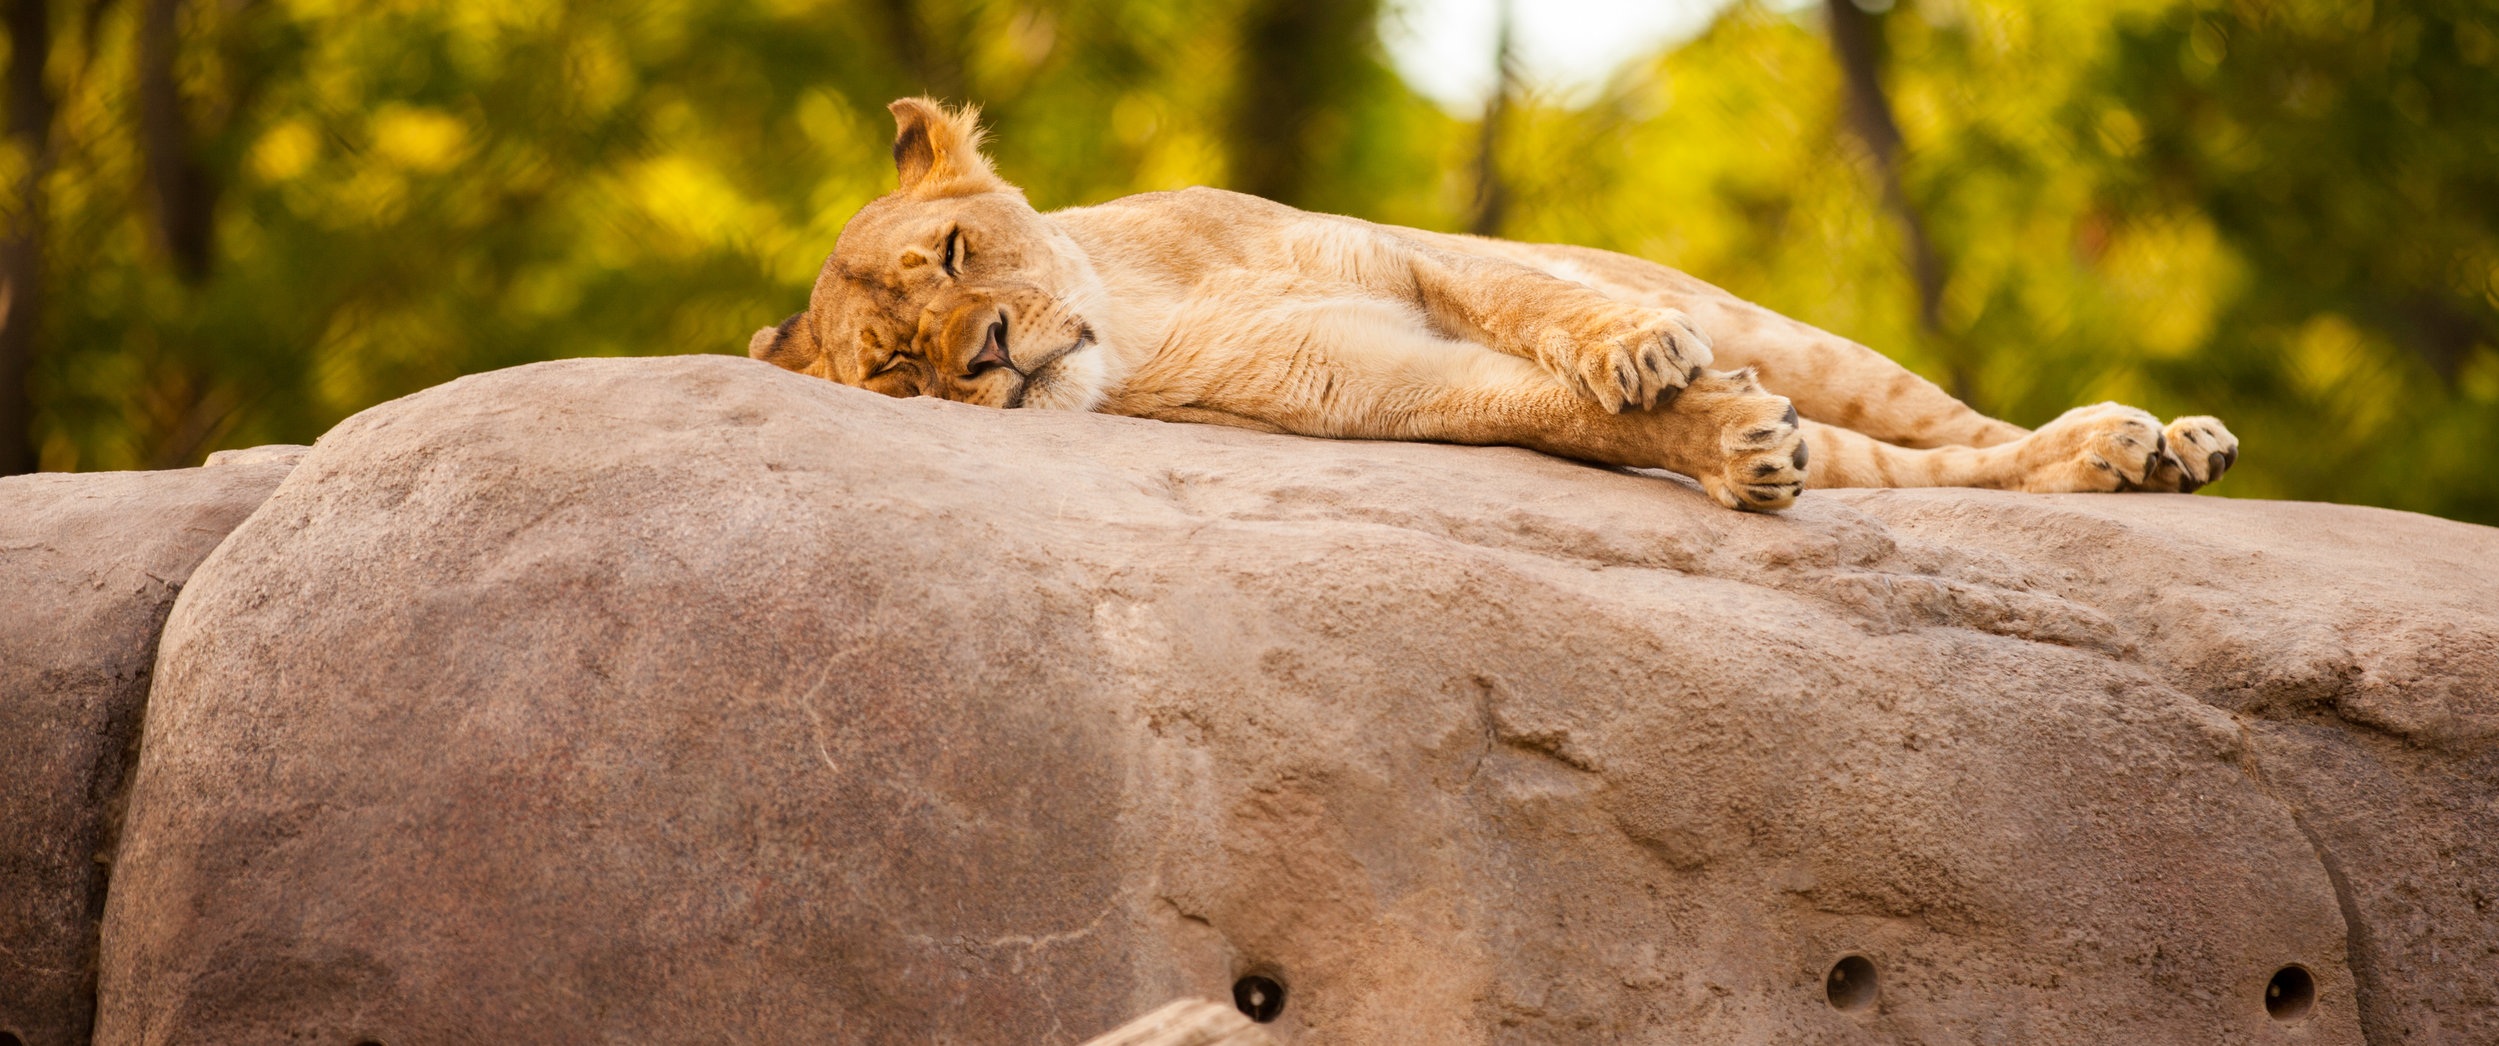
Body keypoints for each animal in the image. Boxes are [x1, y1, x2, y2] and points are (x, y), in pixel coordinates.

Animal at [749, 98, 2238, 511]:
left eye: (954, 253)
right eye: (898, 372)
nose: (990, 351)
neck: (1146, 319)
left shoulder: (1399, 256)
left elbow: (1530, 298)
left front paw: (1644, 352)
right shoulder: (1386, 390)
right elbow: (1585, 420)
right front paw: (1727, 442)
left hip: (1800, 335)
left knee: (1955, 423)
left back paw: (2159, 438)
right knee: (1922, 469)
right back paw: (2108, 458)